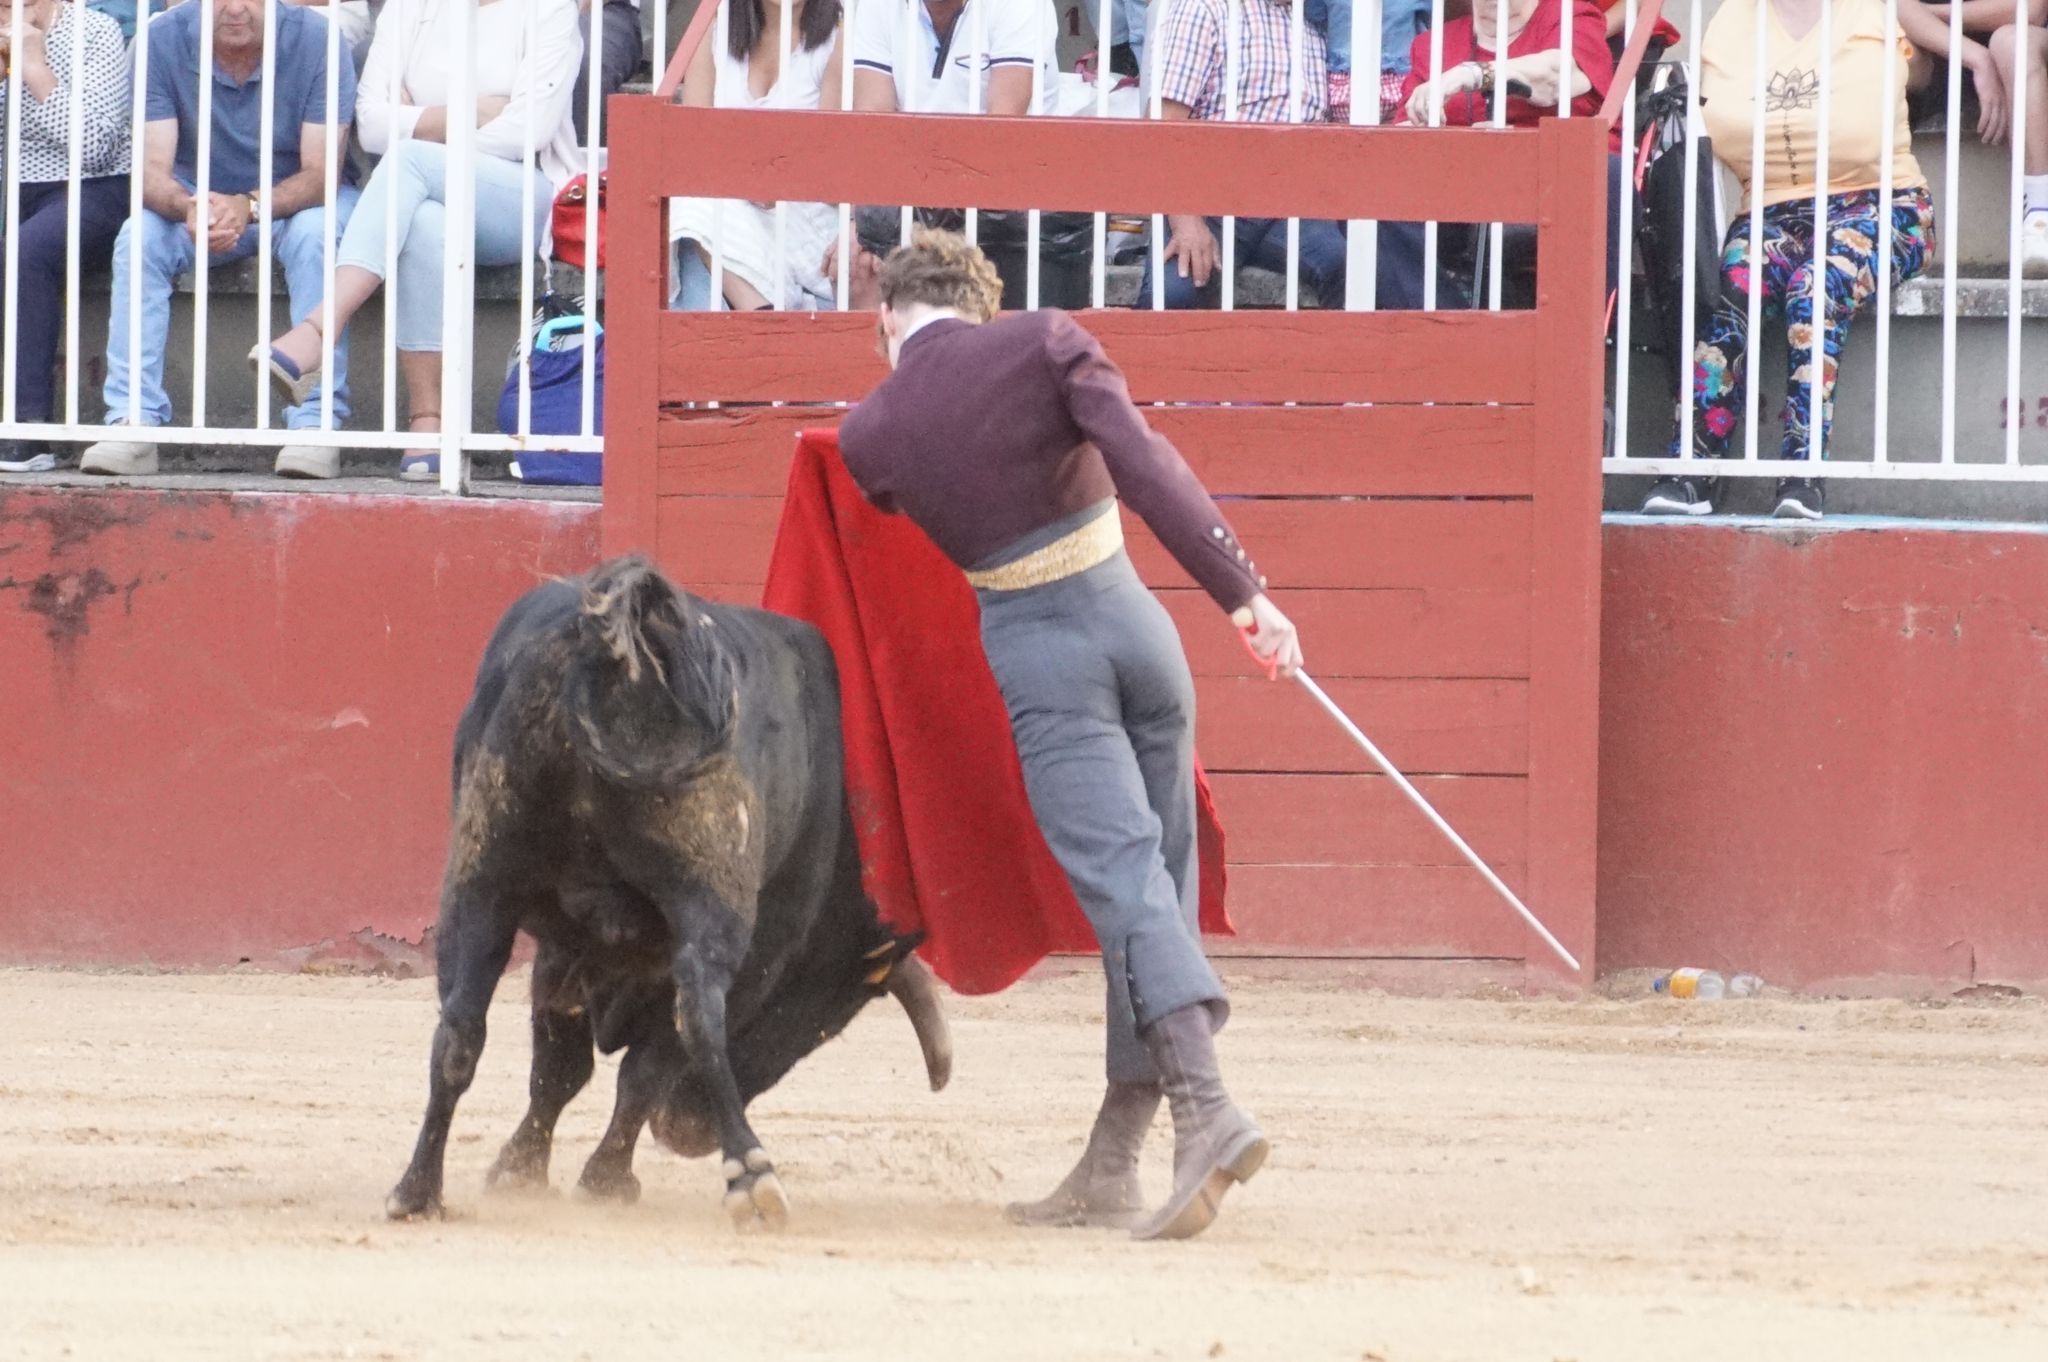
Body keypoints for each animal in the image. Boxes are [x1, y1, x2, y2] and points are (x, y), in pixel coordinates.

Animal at [385, 552, 950, 1220]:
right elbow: (638, 1064)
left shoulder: (562, 945)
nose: (687, 1129)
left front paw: (521, 1168)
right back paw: (749, 1174)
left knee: (459, 1031)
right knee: (695, 1018)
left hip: (481, 882)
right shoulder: (766, 945)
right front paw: (601, 1179)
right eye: (828, 1018)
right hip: (711, 904)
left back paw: (417, 1190)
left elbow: (559, 1064)